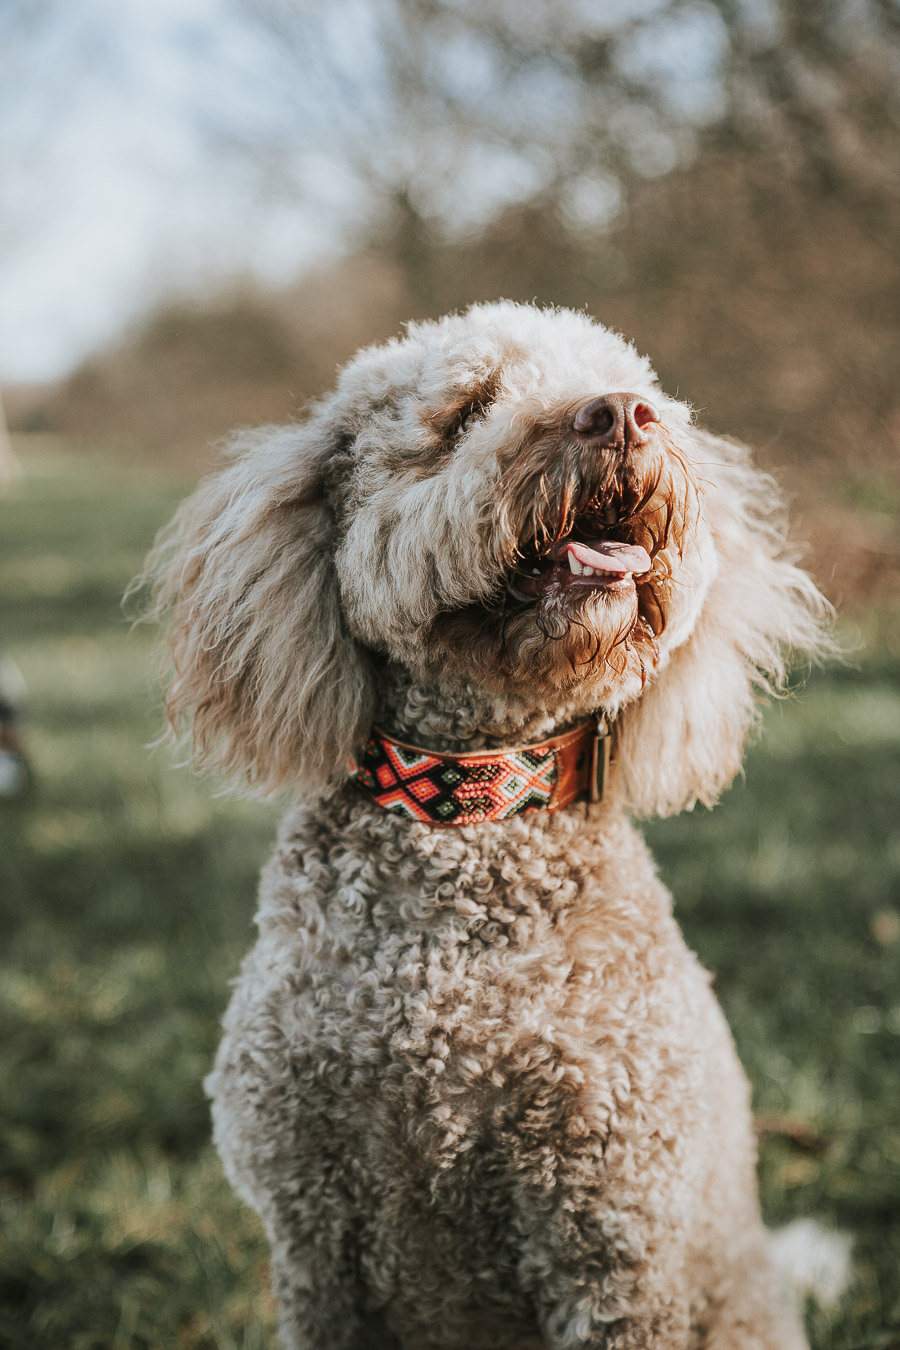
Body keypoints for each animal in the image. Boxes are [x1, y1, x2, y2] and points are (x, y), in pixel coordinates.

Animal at [146, 306, 831, 1350]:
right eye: (467, 411)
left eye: (647, 393)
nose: (621, 416)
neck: (472, 817)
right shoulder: (313, 1237)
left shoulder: (612, 1240)